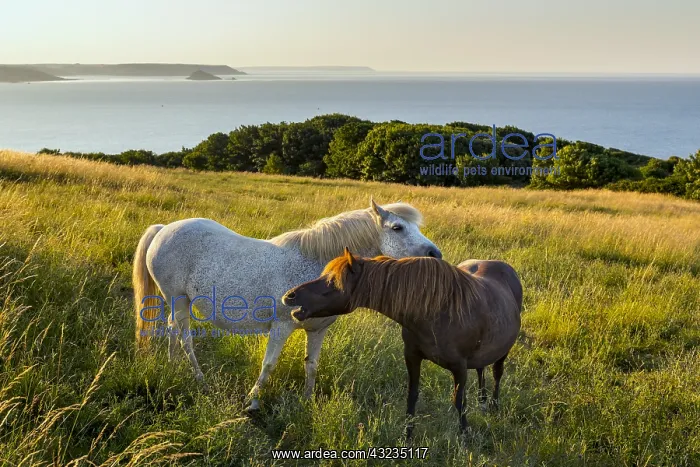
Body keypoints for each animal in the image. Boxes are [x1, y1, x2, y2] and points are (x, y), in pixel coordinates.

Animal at [132, 200, 441, 412]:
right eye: (397, 228)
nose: (435, 254)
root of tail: (164, 229)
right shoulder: (281, 326)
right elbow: (268, 364)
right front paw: (252, 402)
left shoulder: (317, 331)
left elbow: (312, 365)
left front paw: (307, 402)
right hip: (177, 297)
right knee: (185, 338)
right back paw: (200, 380)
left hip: (178, 301)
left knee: (173, 330)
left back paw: (173, 366)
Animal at [282, 247, 522, 438]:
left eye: (332, 281)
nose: (289, 296)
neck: (436, 311)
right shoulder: (412, 357)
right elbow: (411, 397)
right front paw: (407, 436)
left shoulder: (459, 367)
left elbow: (459, 402)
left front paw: (465, 437)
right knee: (481, 369)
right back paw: (482, 402)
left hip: (503, 352)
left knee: (497, 374)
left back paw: (493, 406)